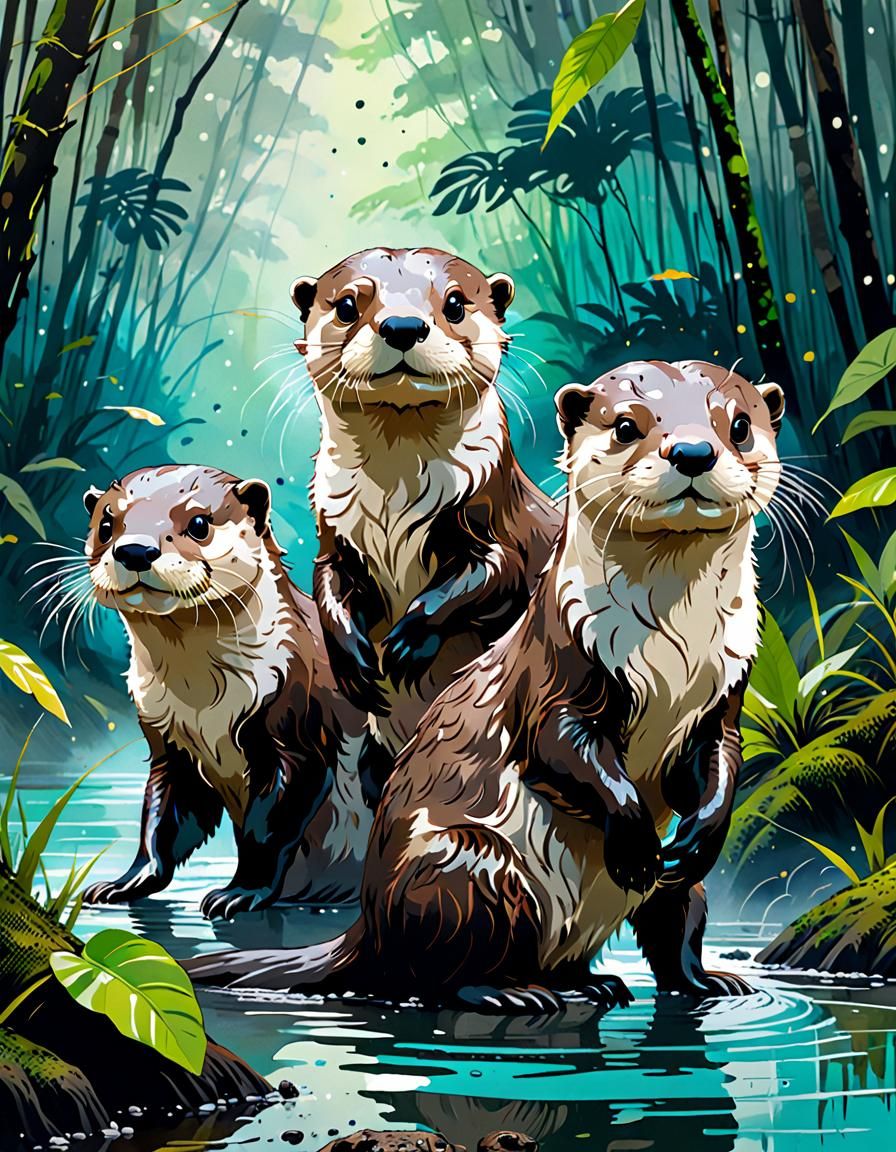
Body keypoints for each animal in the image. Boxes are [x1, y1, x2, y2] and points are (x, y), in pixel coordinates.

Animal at [79, 465, 371, 919]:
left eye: (199, 524)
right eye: (107, 525)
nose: (136, 550)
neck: (204, 704)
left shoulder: (296, 724)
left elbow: (268, 827)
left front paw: (240, 892)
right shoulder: (168, 742)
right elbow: (160, 819)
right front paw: (123, 882)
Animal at [185, 361, 784, 1004]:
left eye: (740, 425)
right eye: (627, 426)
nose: (693, 451)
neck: (674, 658)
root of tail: (368, 921)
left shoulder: (723, 694)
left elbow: (721, 766)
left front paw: (697, 839)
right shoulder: (557, 672)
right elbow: (558, 746)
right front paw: (633, 840)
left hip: (667, 897)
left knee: (676, 919)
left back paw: (670, 981)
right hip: (466, 865)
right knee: (438, 969)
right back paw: (512, 990)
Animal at [292, 247, 562, 789]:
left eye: (455, 304)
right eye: (347, 305)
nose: (402, 325)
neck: (392, 512)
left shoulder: (497, 522)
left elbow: (493, 574)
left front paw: (409, 640)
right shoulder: (335, 534)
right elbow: (326, 579)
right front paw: (352, 656)